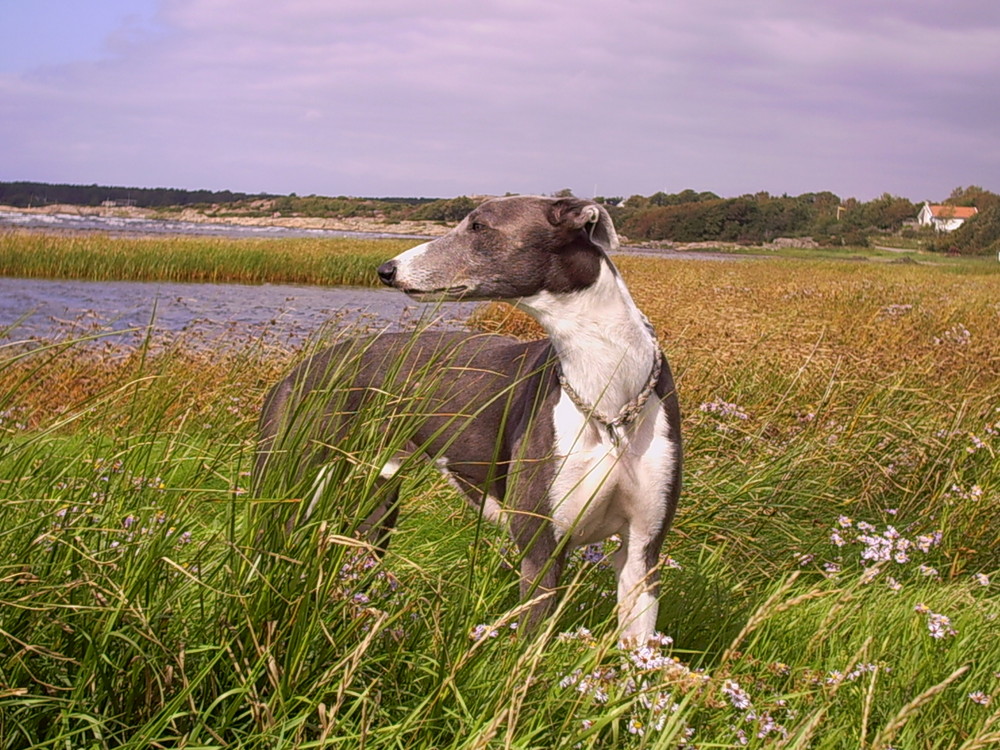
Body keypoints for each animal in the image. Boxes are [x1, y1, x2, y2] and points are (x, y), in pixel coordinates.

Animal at [254, 195, 684, 648]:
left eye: (478, 226)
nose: (387, 269)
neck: (609, 392)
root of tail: (299, 369)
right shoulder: (540, 546)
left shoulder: (643, 552)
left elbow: (636, 649)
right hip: (289, 481)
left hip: (378, 500)